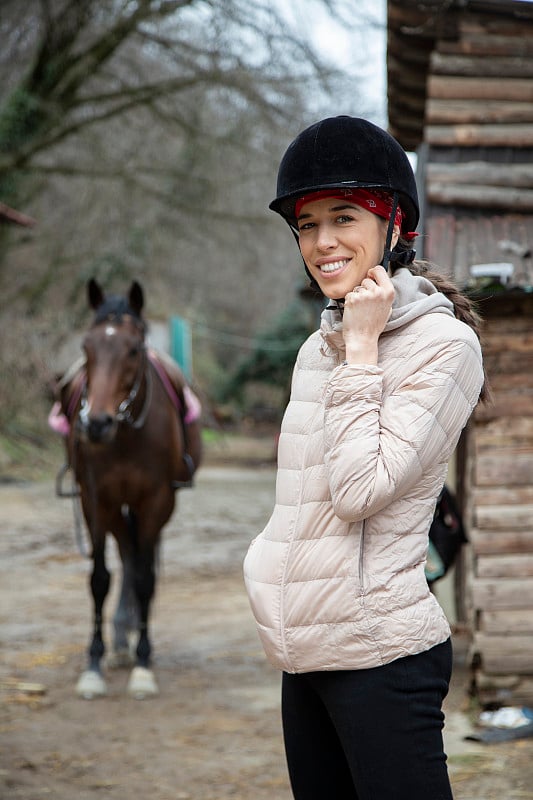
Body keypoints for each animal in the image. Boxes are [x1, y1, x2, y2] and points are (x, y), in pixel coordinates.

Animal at [56, 282, 202, 700]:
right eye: (86, 347)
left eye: (134, 350)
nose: (96, 424)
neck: (125, 435)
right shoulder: (94, 500)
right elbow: (99, 579)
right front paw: (93, 665)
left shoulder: (155, 500)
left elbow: (145, 579)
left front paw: (143, 665)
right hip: (114, 507)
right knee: (126, 552)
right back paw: (121, 638)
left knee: (137, 560)